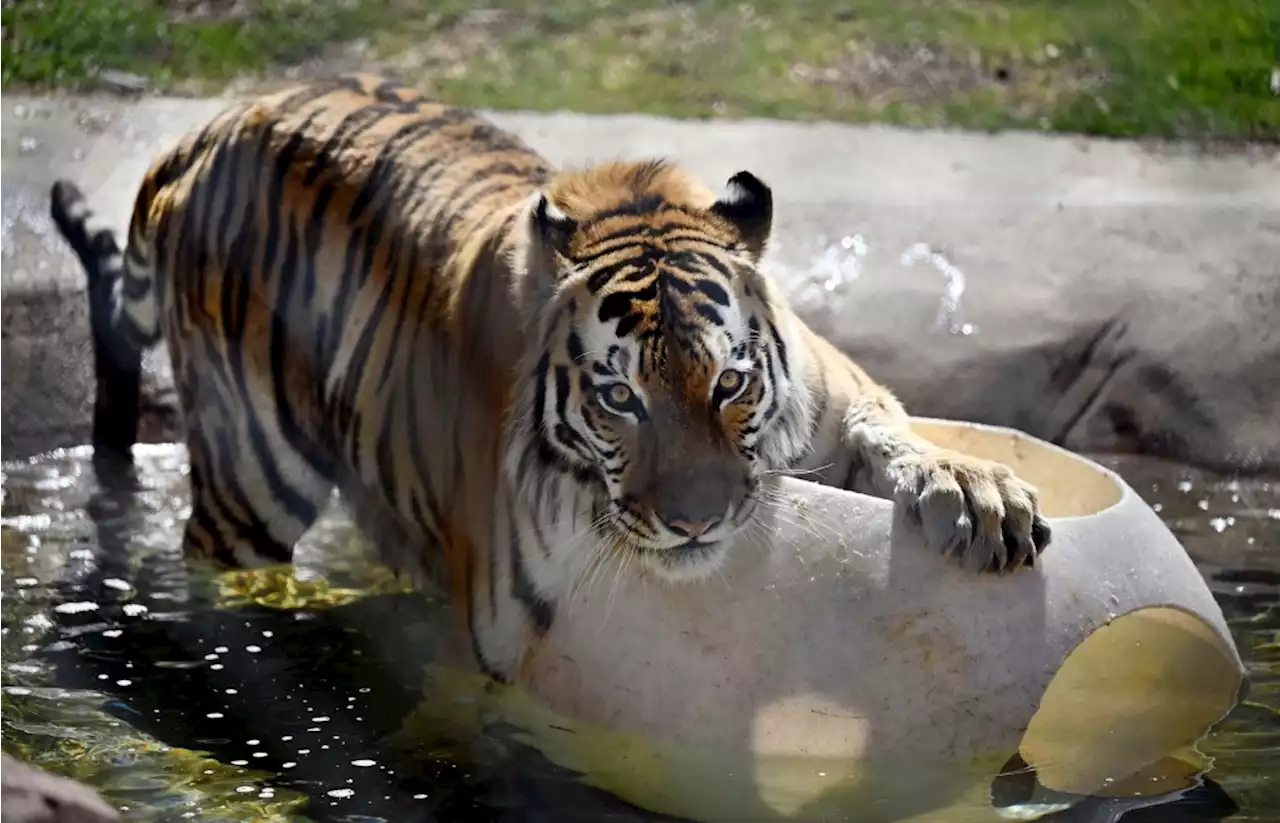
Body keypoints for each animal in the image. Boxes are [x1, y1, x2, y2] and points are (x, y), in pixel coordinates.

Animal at [49, 75, 1049, 680]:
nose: (699, 521)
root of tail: (207, 128)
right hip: (251, 477)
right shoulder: (495, 641)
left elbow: (897, 434)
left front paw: (980, 494)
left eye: (729, 386)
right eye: (619, 398)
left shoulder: (836, 406)